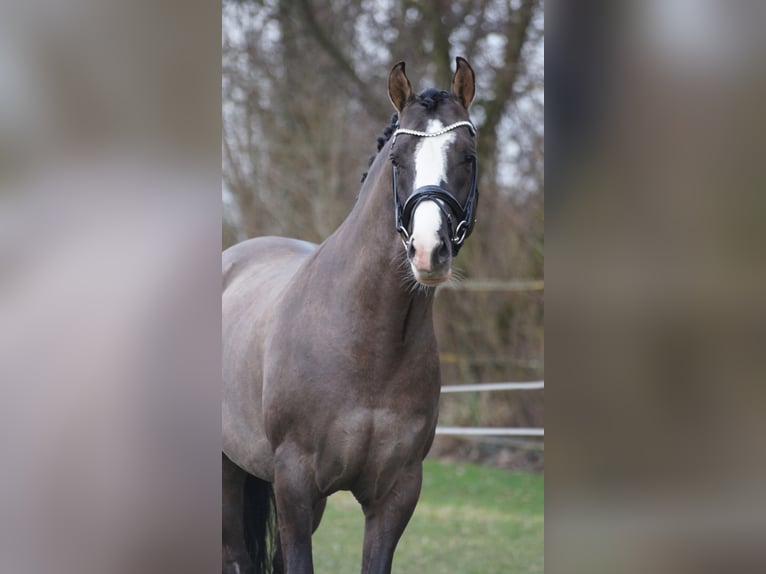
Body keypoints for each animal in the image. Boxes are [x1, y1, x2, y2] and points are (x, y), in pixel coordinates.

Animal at [222, 57, 479, 574]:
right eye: (398, 159)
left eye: (466, 156)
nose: (429, 251)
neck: (367, 344)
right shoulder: (295, 483)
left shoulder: (396, 494)